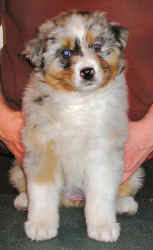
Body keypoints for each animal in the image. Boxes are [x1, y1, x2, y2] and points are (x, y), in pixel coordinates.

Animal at [9, 10, 143, 241]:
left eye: (97, 46)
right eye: (65, 52)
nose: (87, 71)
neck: (78, 101)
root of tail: (73, 198)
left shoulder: (103, 152)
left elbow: (102, 192)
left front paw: (103, 227)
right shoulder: (42, 147)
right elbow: (41, 190)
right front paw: (40, 225)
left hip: (133, 171)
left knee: (122, 189)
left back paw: (124, 204)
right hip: (18, 167)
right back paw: (24, 200)